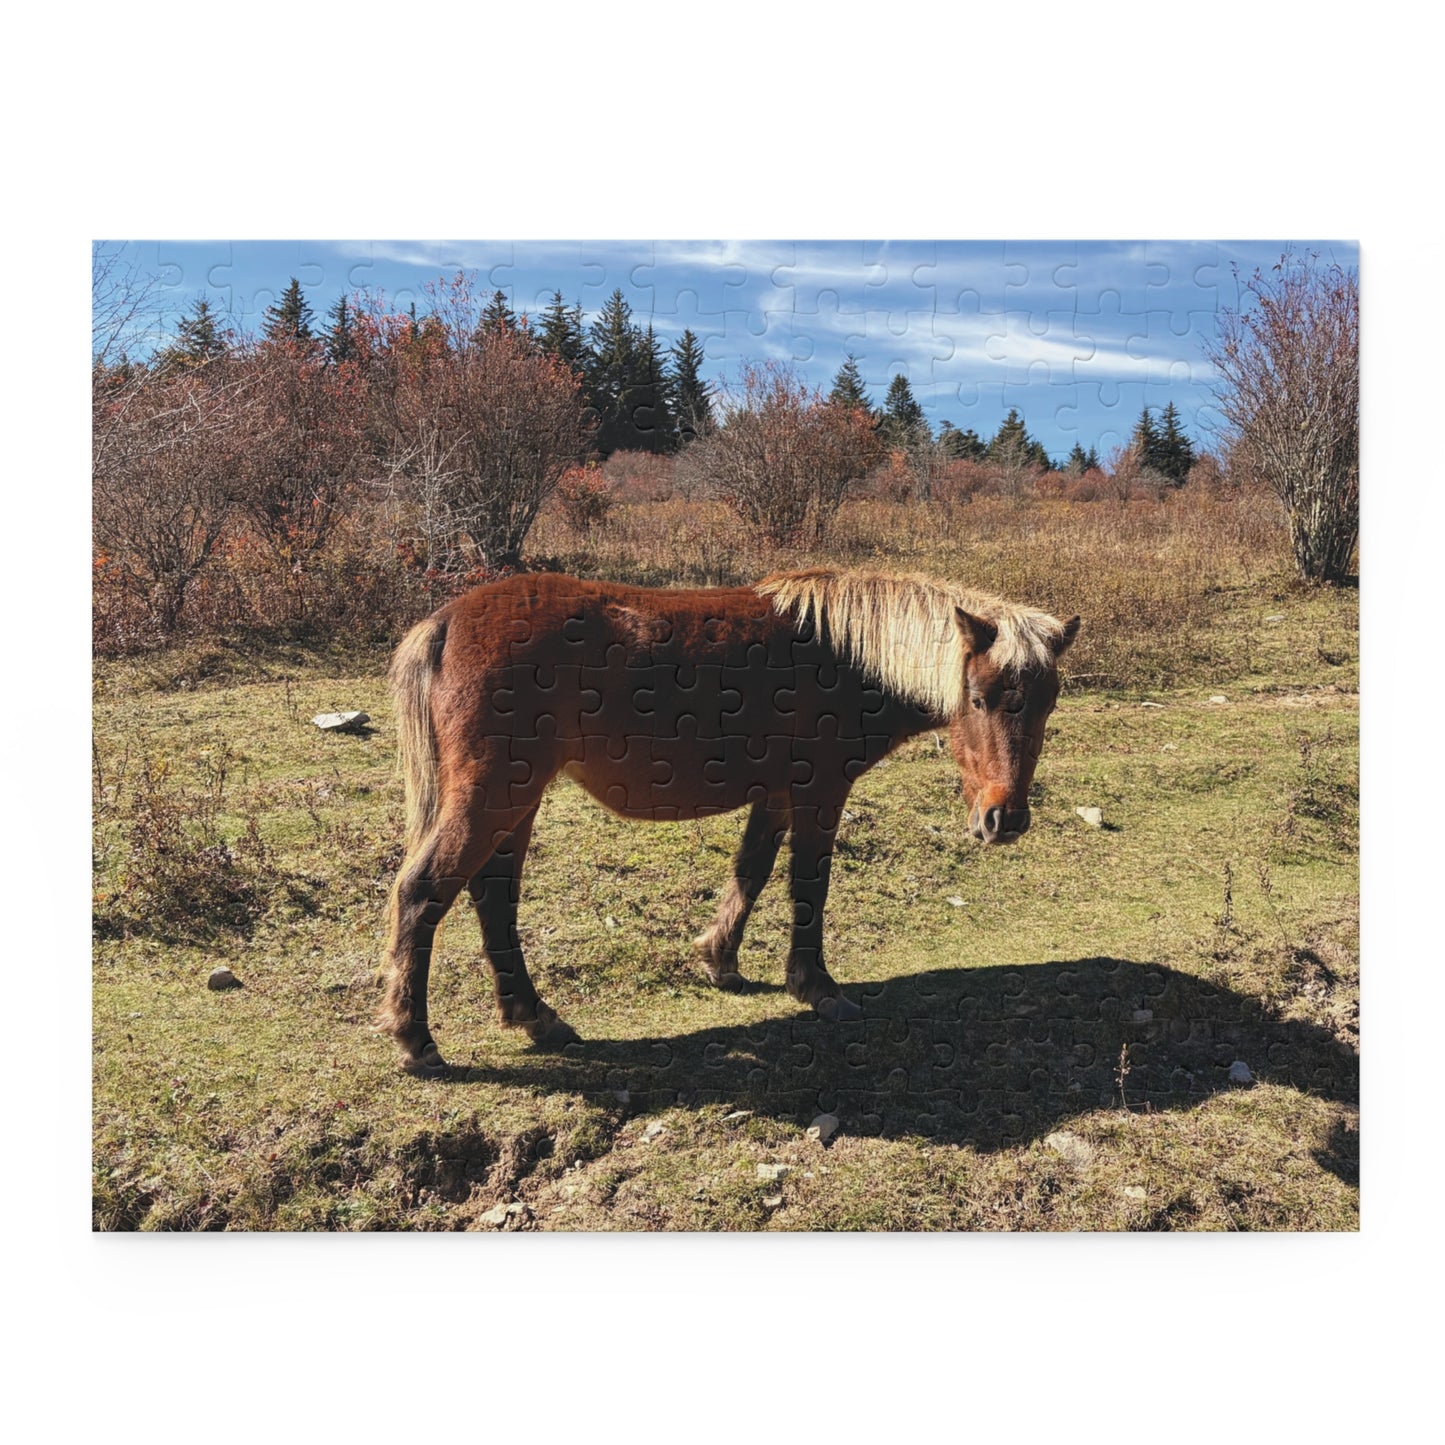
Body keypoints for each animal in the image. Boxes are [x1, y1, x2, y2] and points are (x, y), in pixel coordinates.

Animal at [378, 568, 1080, 1077]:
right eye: (979, 699)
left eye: (1046, 703)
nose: (1005, 819)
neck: (847, 658)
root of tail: (445, 622)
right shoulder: (819, 792)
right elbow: (808, 887)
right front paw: (817, 986)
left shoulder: (775, 796)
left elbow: (751, 872)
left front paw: (720, 959)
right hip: (496, 796)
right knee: (423, 892)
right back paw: (416, 1040)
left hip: (515, 803)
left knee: (492, 897)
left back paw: (533, 1016)